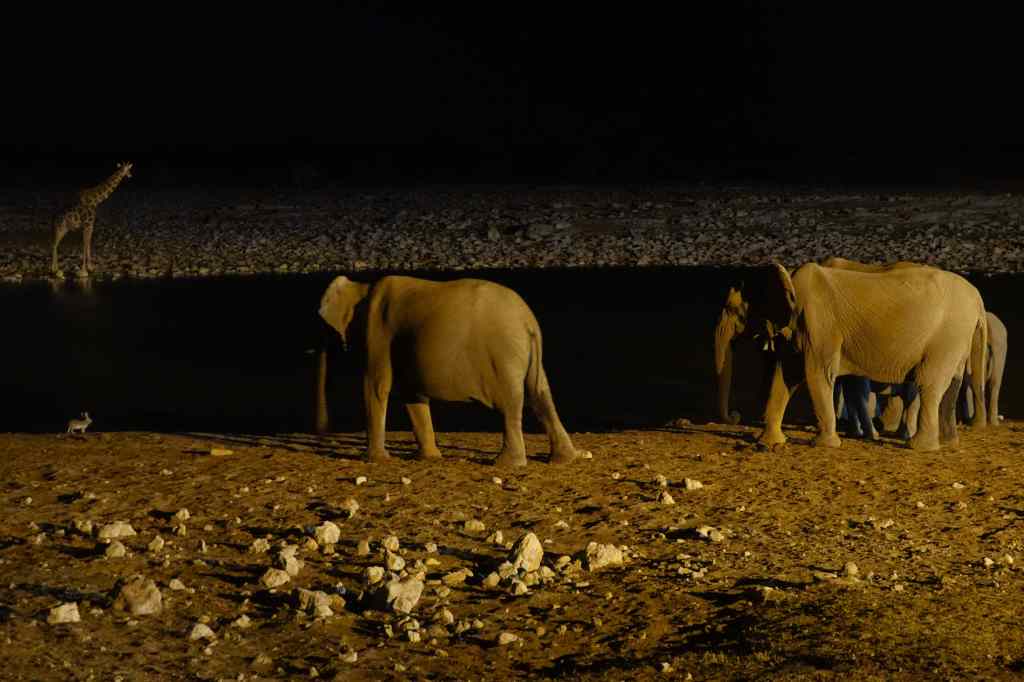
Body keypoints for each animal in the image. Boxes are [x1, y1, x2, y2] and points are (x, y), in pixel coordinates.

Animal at [316, 274, 579, 466]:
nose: (322, 431)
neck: (363, 286)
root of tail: (528, 321)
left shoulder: (379, 331)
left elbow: (377, 385)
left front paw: (374, 461)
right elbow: (412, 395)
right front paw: (428, 458)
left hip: (502, 356)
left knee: (509, 404)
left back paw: (505, 464)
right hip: (528, 354)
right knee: (540, 395)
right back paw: (562, 460)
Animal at [715, 261, 988, 451]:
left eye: (730, 309)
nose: (735, 416)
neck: (788, 277)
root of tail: (979, 301)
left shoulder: (819, 324)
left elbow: (817, 373)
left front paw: (824, 445)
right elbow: (786, 376)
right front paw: (769, 442)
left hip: (947, 336)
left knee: (929, 383)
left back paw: (920, 447)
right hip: (956, 338)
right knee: (952, 383)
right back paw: (948, 444)